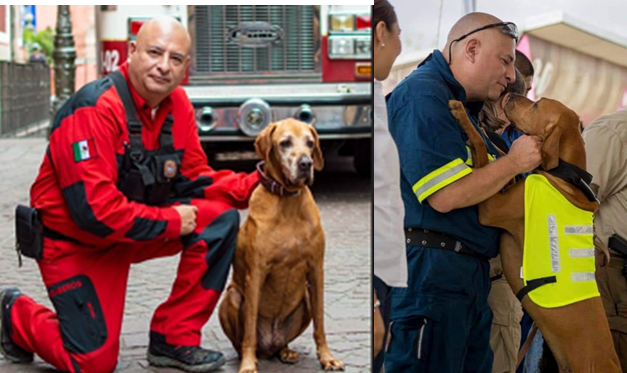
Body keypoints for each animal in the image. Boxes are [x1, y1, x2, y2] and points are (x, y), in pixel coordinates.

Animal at [216, 118, 344, 372]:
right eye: (285, 143)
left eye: (310, 143)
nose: (306, 163)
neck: (288, 201)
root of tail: (269, 345)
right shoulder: (256, 272)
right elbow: (249, 331)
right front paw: (248, 364)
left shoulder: (316, 270)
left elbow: (320, 323)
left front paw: (326, 357)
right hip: (232, 296)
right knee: (242, 339)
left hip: (305, 299)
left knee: (284, 341)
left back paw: (286, 350)